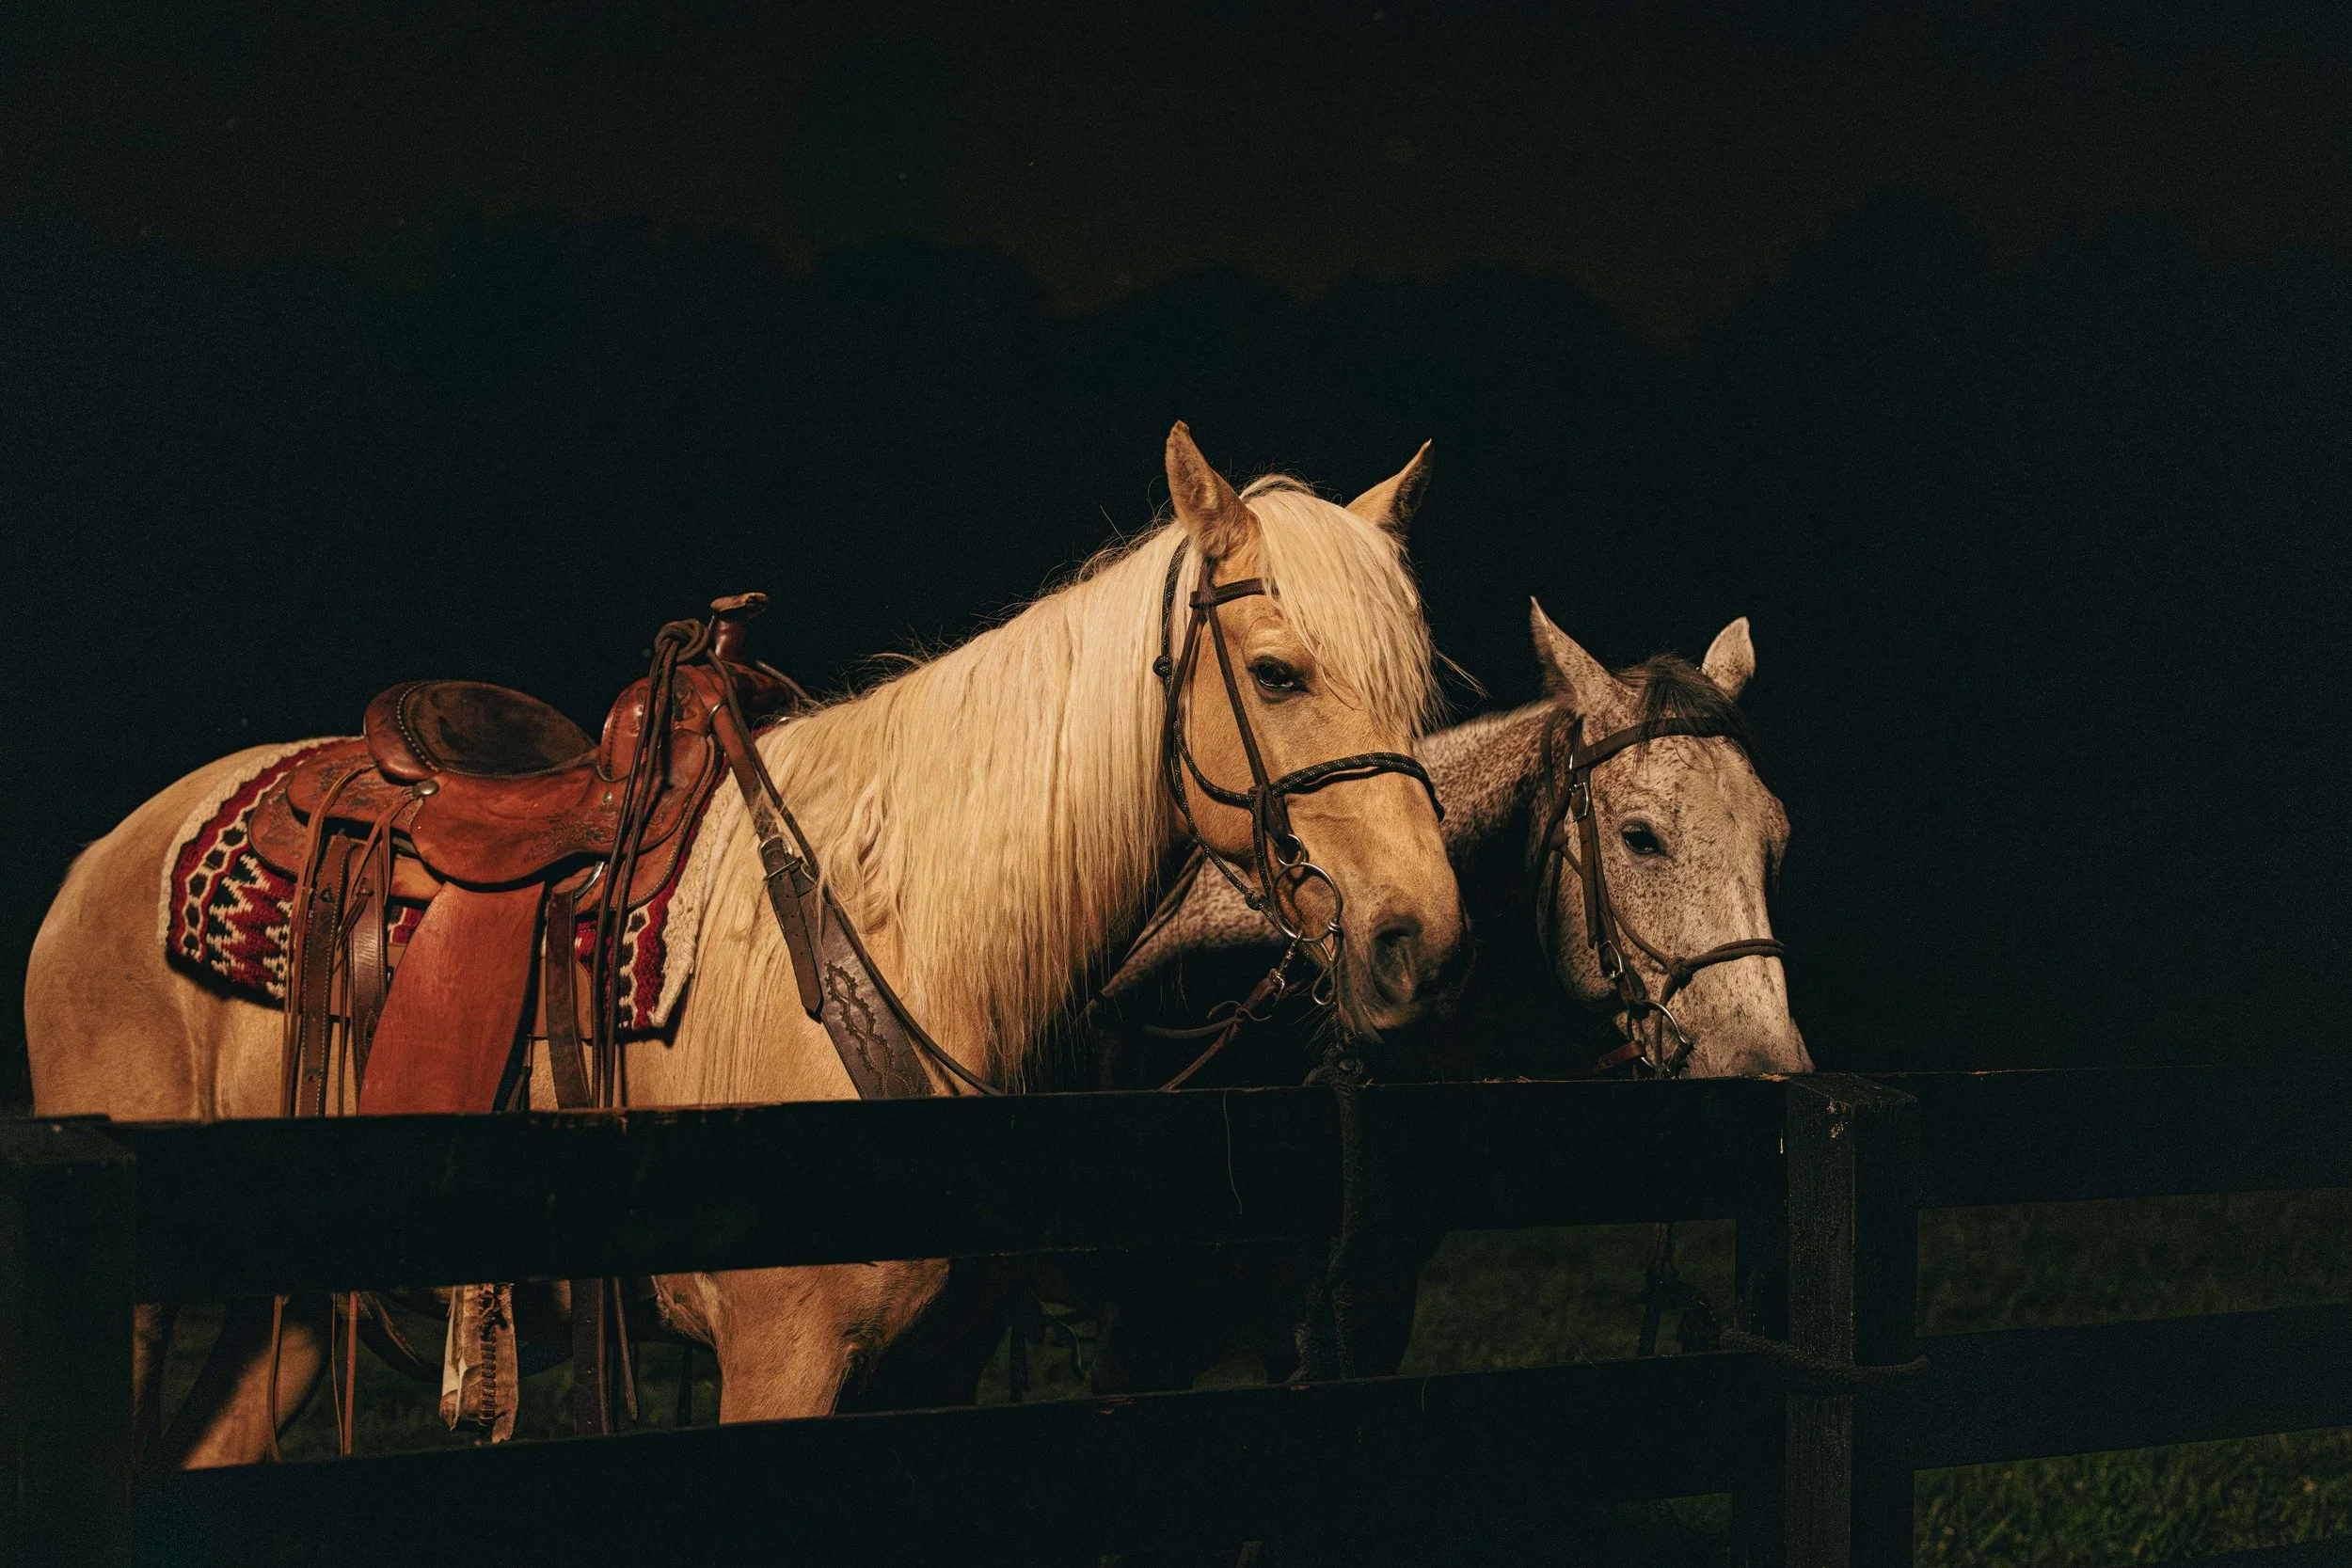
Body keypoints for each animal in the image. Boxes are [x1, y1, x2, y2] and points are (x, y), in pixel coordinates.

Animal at [23, 424, 1466, 1467]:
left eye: (1417, 681)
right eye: (1275, 672)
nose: (1418, 937)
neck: (889, 932)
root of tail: (103, 857)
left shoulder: (929, 1372)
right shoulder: (783, 1361)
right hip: (141, 1300)